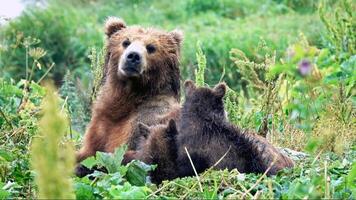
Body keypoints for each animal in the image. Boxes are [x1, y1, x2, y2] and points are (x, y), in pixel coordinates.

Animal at [76, 17, 184, 167]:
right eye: (126, 42)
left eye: (151, 47)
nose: (133, 56)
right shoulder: (100, 125)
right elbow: (88, 151)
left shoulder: (144, 122)